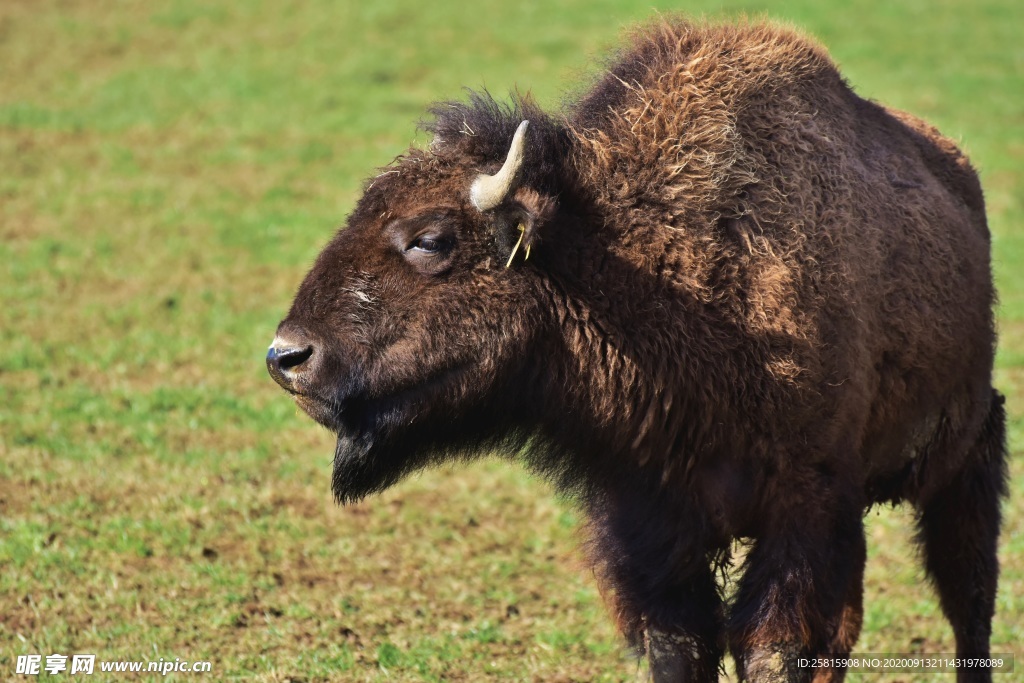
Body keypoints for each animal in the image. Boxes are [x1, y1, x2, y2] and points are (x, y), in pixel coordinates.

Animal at [266, 18, 1007, 683]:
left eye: (431, 238)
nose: (287, 356)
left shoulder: (803, 506)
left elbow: (775, 648)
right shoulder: (649, 521)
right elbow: (679, 646)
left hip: (966, 452)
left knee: (967, 599)